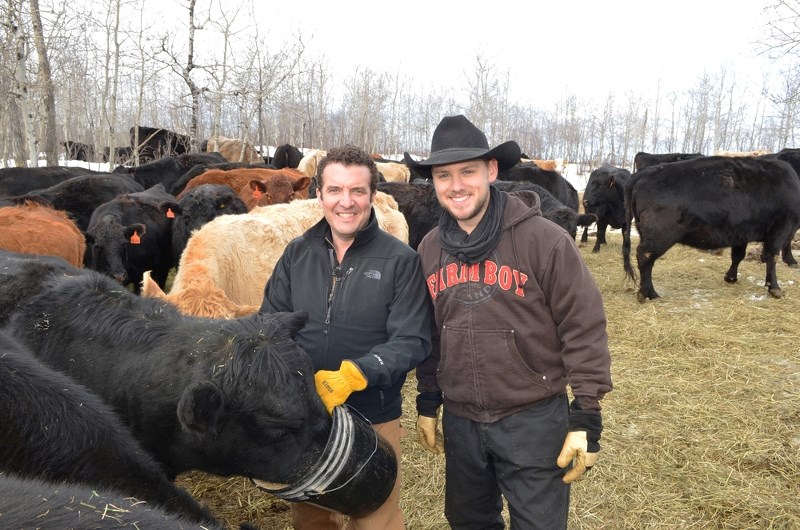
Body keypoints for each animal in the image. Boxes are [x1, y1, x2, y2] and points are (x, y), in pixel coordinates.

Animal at [620, 155, 800, 300]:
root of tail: (643, 174)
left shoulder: (741, 233)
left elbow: (738, 255)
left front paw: (731, 277)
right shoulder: (781, 229)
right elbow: (771, 256)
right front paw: (775, 288)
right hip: (659, 236)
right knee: (645, 256)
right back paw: (649, 293)